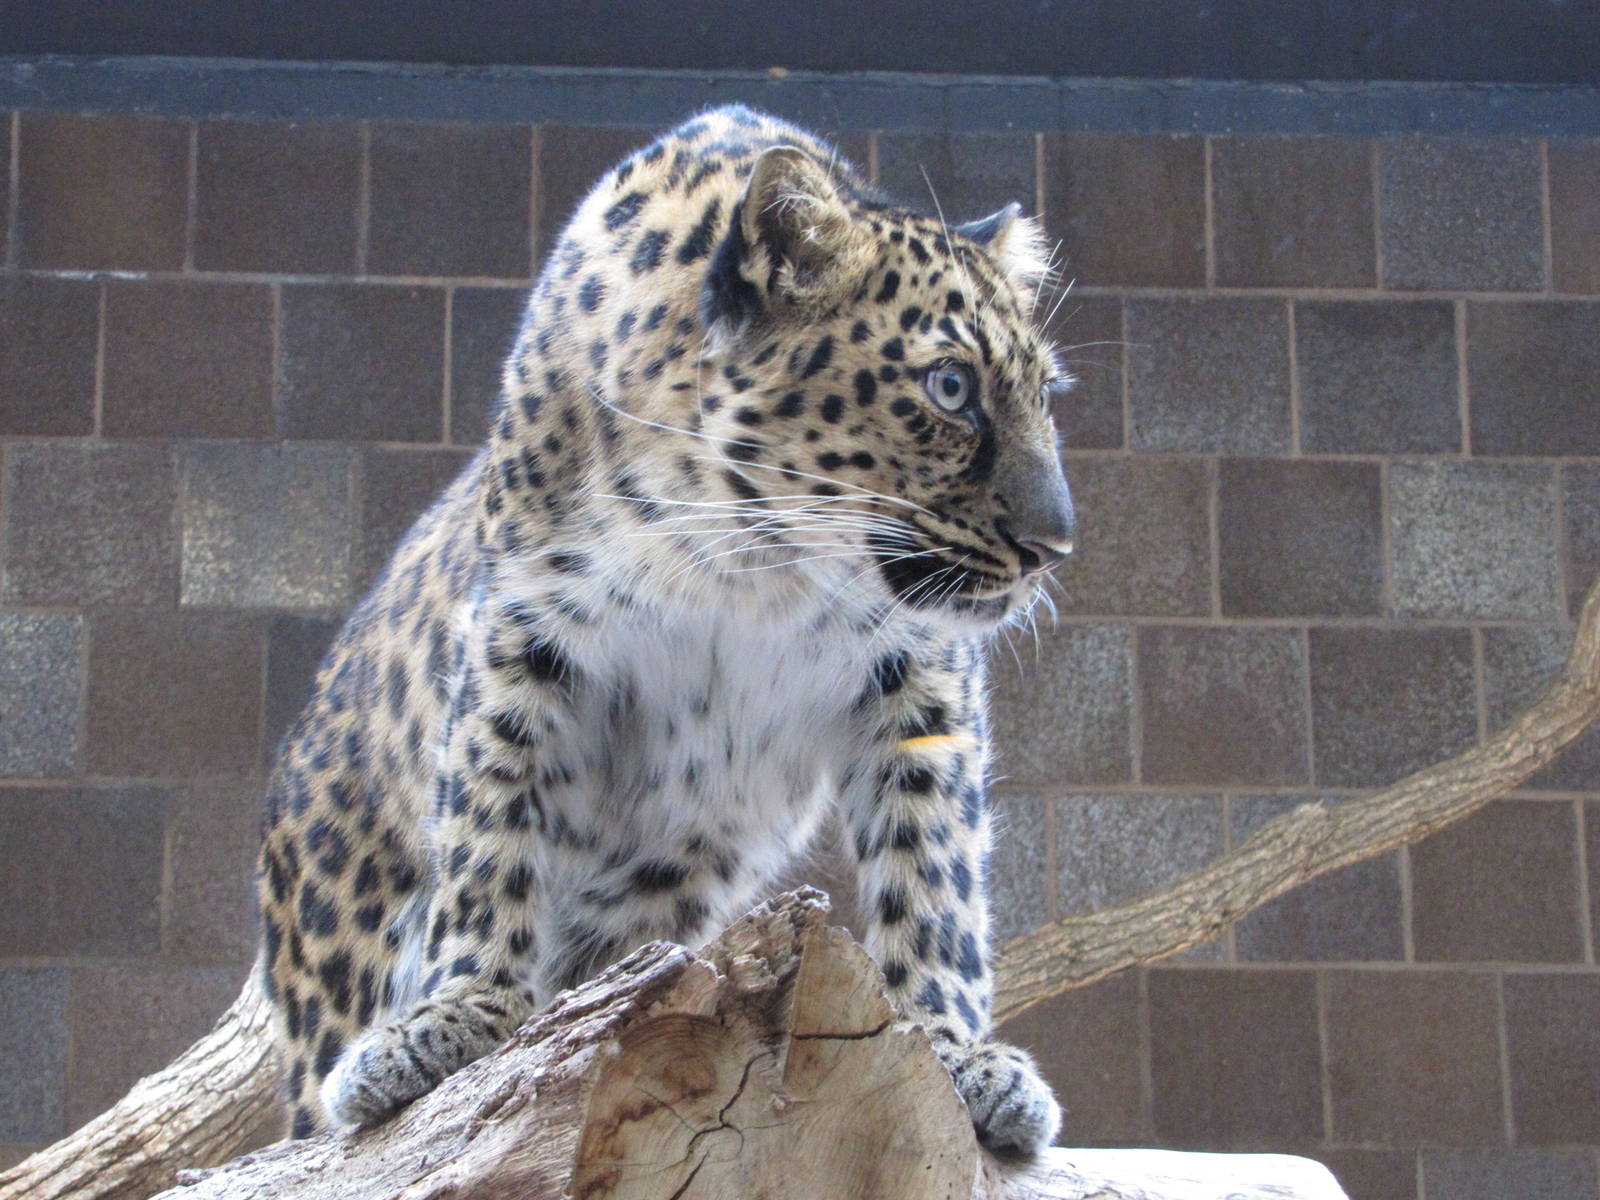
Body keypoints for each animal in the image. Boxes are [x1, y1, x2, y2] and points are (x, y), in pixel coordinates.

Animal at [257, 103, 1076, 1158]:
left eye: (1043, 396)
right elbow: (490, 826)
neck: (746, 557)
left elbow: (932, 871)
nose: (1054, 543)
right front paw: (460, 1013)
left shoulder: (920, 677)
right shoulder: (521, 629)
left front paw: (954, 1049)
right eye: (949, 388)